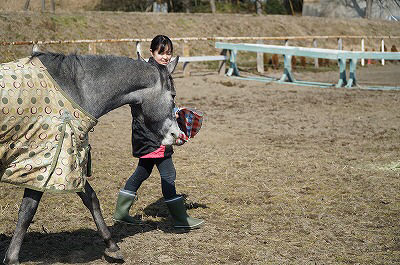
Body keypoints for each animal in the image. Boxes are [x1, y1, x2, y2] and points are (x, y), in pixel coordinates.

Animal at [1, 50, 180, 262]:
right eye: (173, 95)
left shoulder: (56, 163)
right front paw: (12, 258)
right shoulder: (52, 158)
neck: (75, 87)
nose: (176, 134)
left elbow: (89, 199)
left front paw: (111, 245)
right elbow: (28, 211)